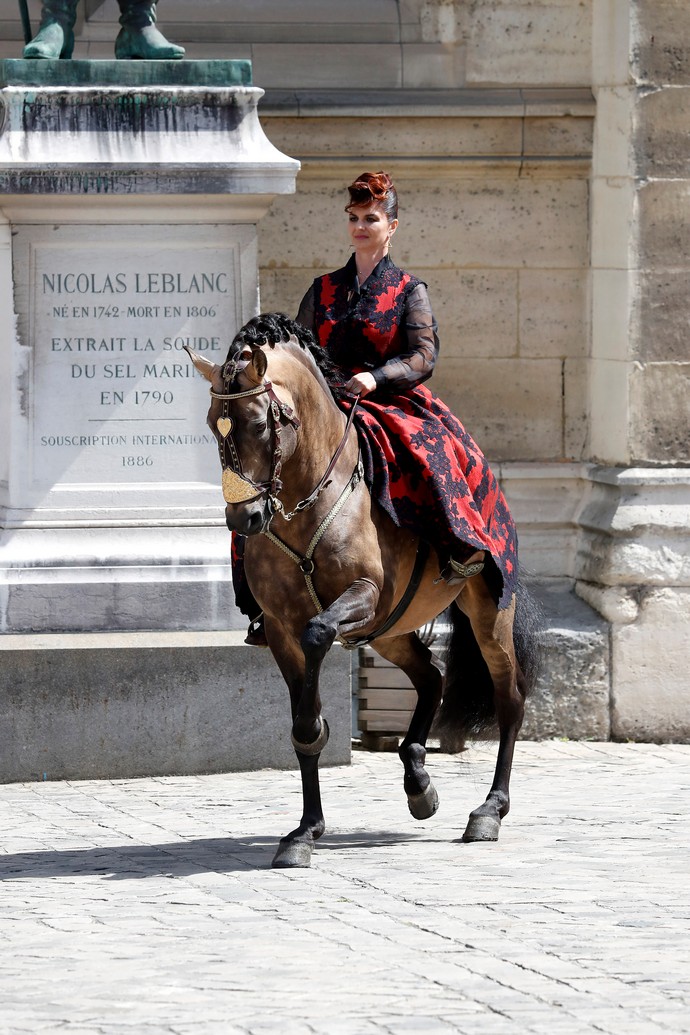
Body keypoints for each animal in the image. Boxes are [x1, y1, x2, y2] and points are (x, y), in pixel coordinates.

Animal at [186, 312, 542, 865]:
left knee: (509, 698)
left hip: (486, 614)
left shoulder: (363, 596)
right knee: (431, 676)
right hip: (389, 631)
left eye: (260, 424)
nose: (244, 519)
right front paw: (305, 831)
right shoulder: (282, 630)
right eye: (211, 424)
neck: (306, 501)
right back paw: (418, 782)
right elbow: (301, 722)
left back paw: (489, 811)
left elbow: (317, 637)